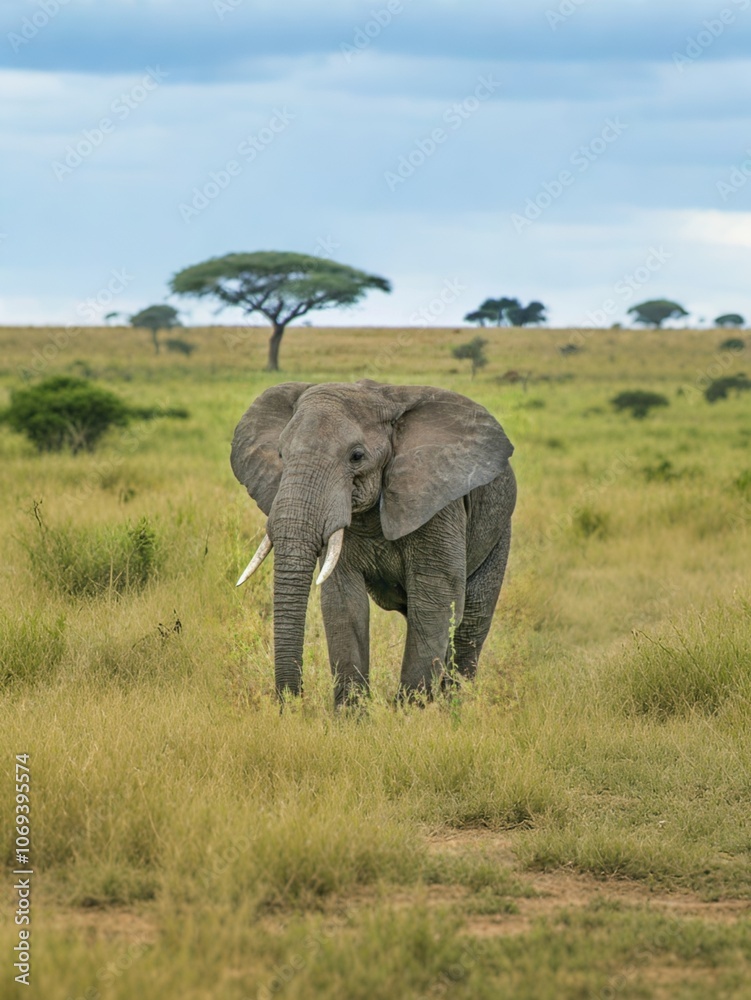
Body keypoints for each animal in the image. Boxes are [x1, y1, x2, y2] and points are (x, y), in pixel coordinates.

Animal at [230, 379, 516, 705]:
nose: (291, 703)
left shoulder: (438, 503)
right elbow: (344, 602)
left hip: (498, 529)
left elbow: (435, 598)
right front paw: (352, 713)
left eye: (356, 456)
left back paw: (454, 703)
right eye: (280, 454)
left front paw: (411, 710)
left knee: (470, 622)